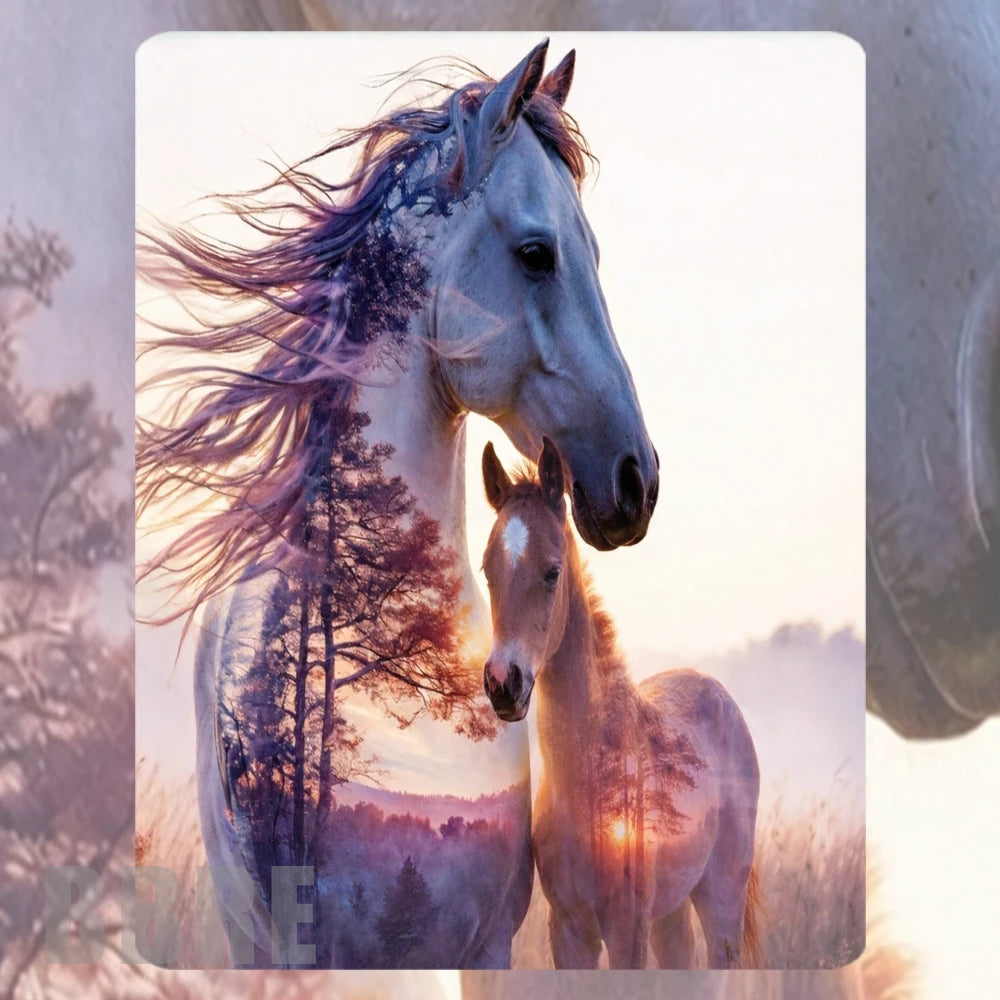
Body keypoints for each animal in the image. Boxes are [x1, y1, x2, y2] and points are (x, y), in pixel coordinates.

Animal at [479, 439, 761, 969]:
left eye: (552, 572)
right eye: (488, 570)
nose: (504, 683)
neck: (589, 775)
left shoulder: (627, 930)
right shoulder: (568, 931)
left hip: (721, 903)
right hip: (671, 913)